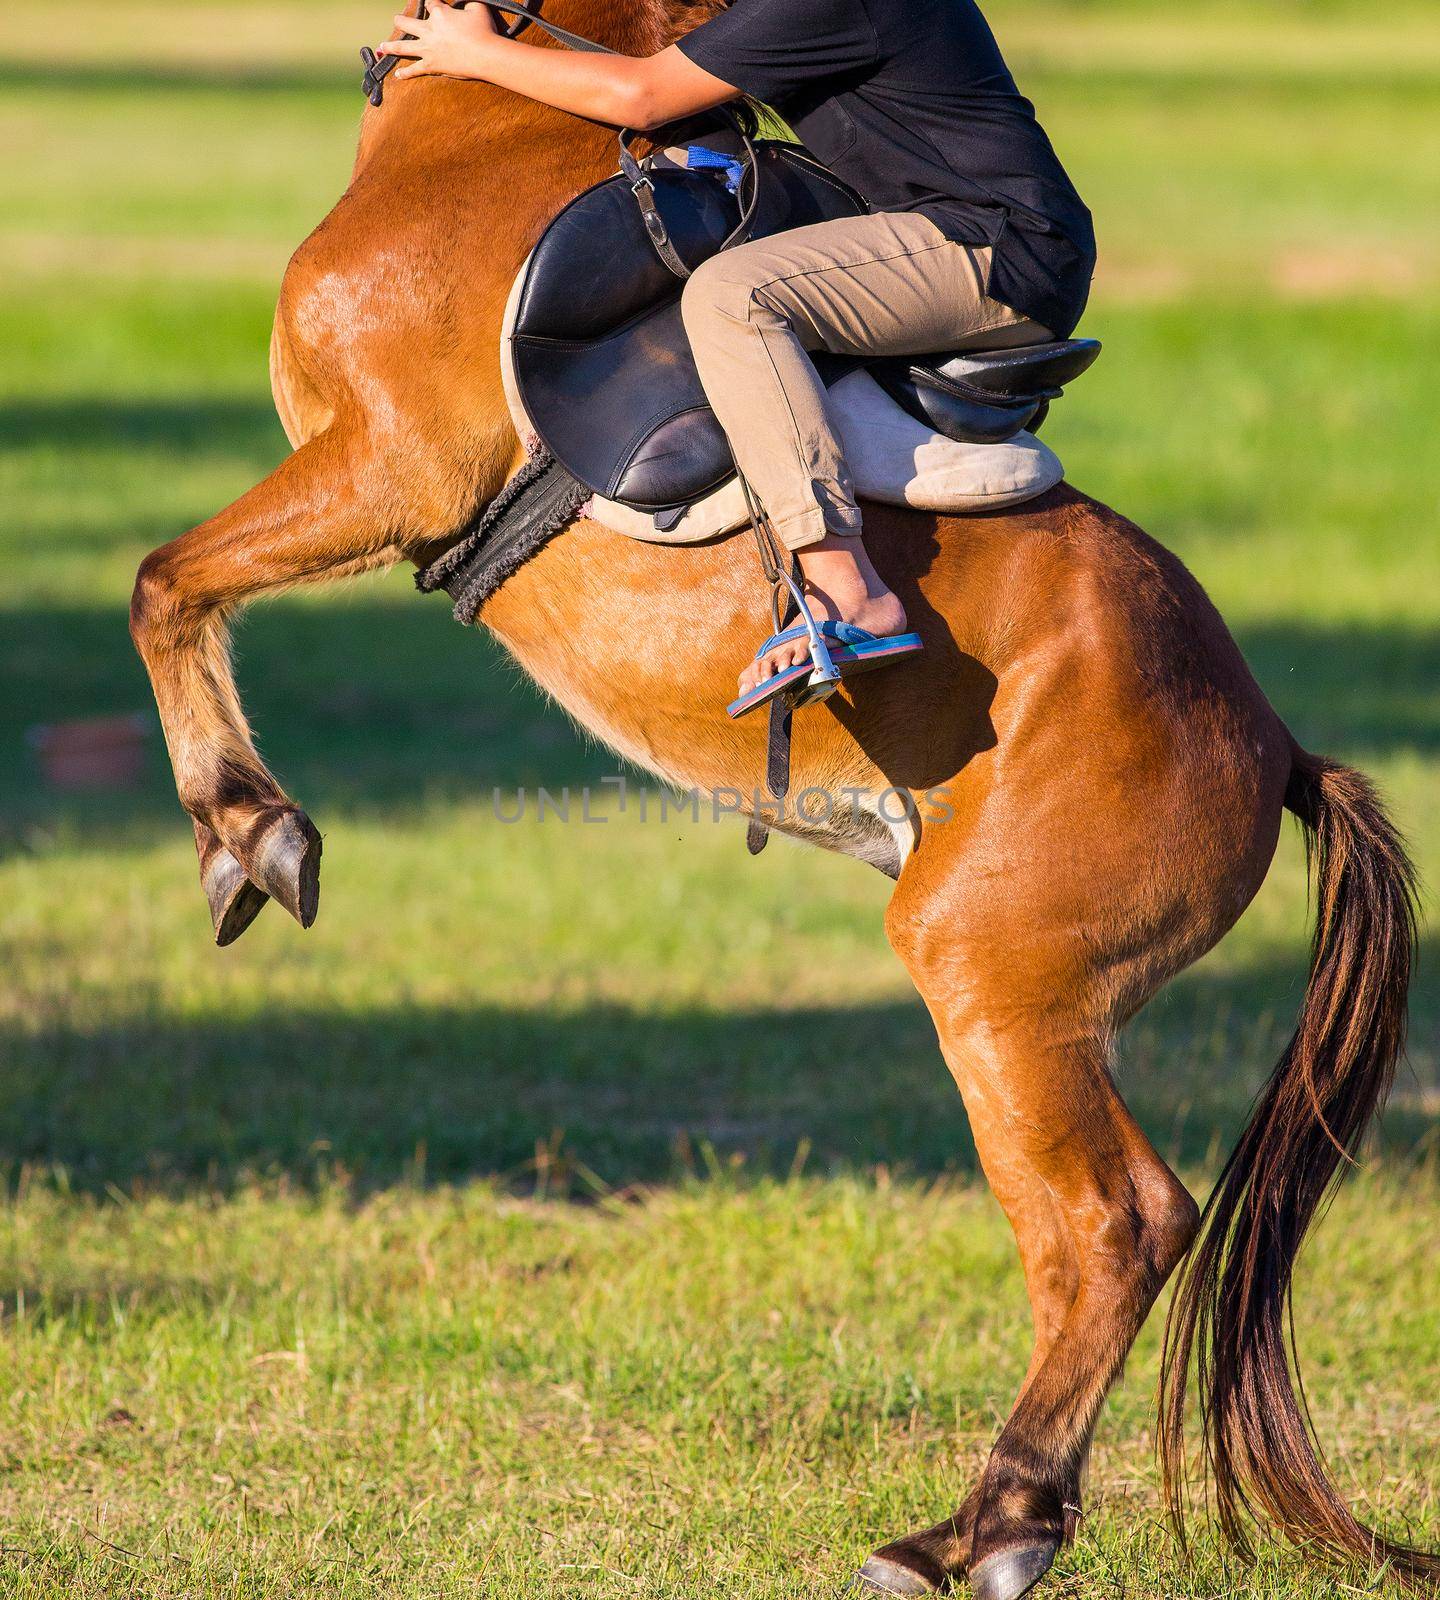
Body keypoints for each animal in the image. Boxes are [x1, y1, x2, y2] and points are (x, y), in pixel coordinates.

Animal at [129, 6, 1433, 1593]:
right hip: (1043, 996)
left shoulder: (386, 468)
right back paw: (989, 1522)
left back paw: (984, 1528)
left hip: (988, 972)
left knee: (1109, 1227)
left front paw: (249, 832)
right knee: (1127, 1223)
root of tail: (1269, 741)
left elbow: (164, 581)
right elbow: (174, 584)